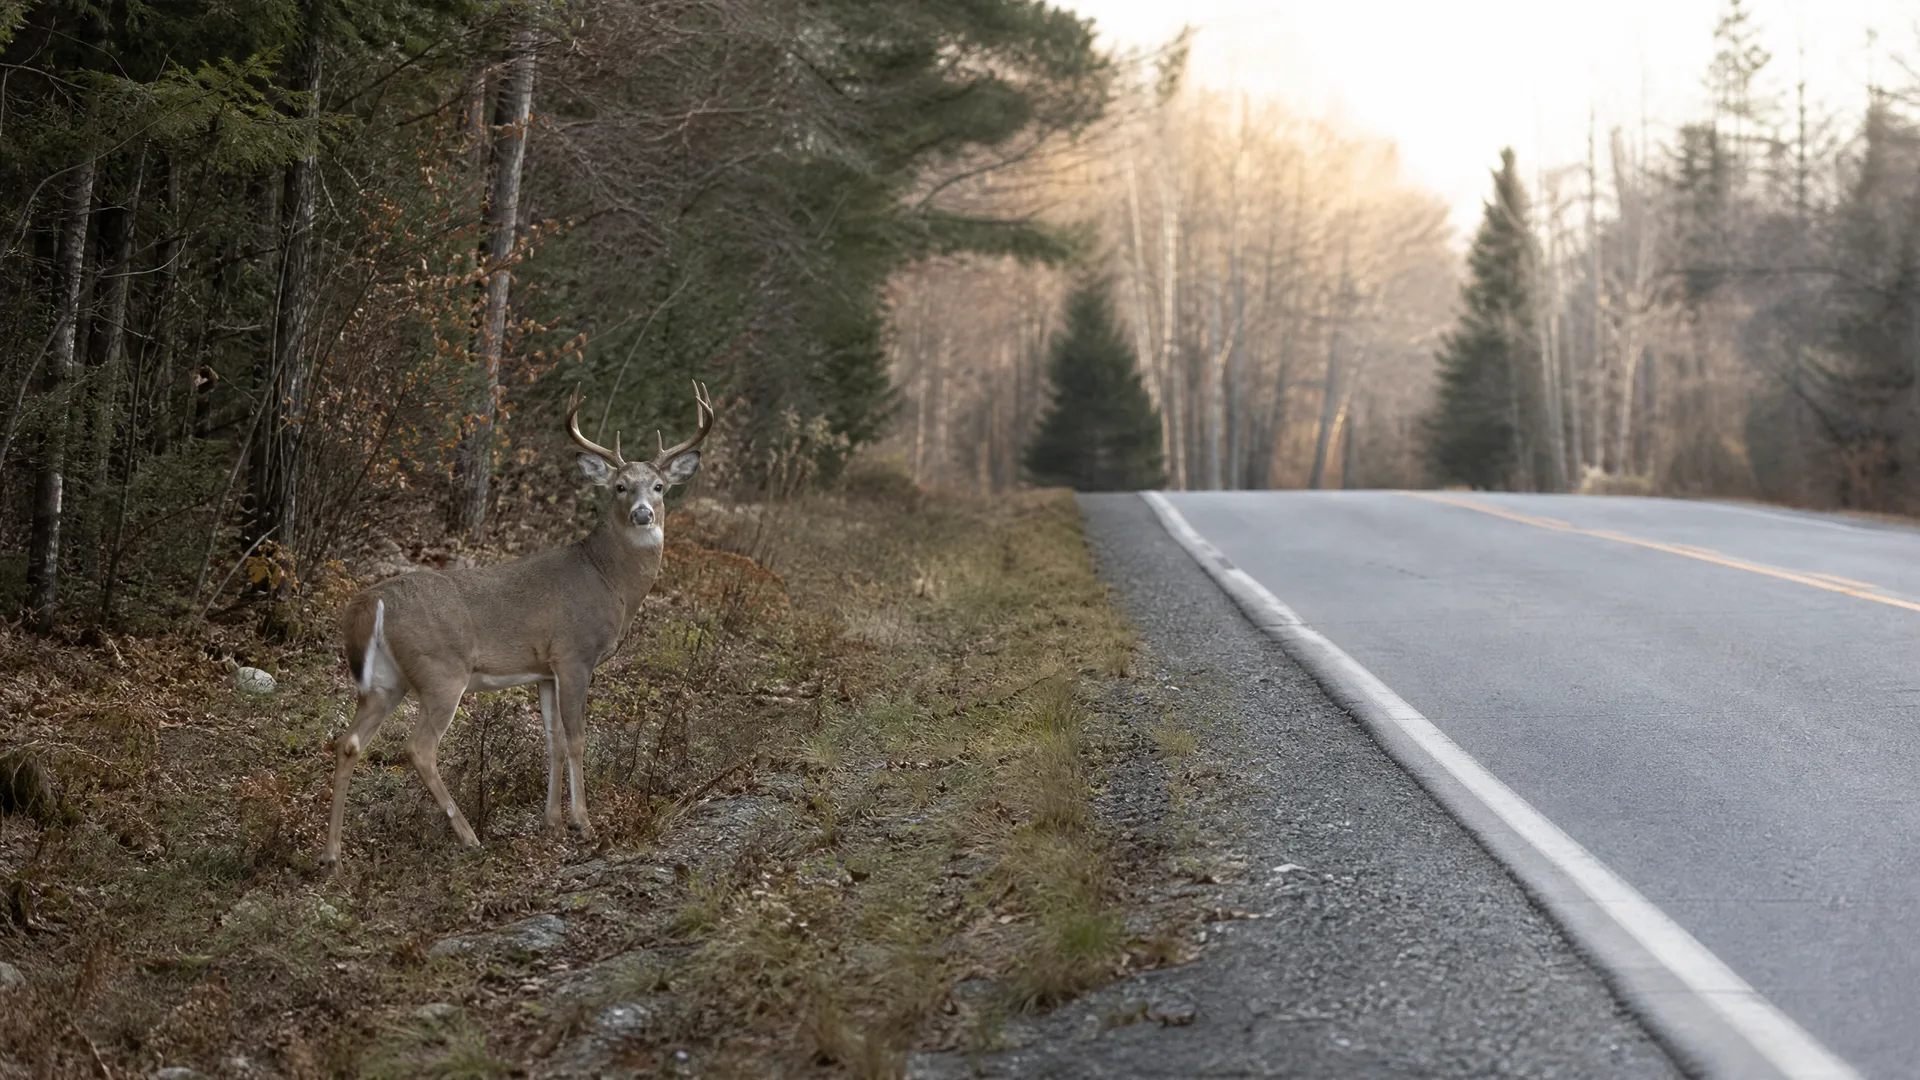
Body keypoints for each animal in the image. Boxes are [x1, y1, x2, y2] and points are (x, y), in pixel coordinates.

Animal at [323, 382, 714, 865]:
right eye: (620, 486)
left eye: (659, 486)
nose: (643, 513)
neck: (608, 578)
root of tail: (371, 600)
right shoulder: (574, 654)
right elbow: (577, 738)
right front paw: (583, 823)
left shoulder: (544, 669)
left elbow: (553, 740)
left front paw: (552, 822)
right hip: (441, 670)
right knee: (419, 748)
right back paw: (470, 837)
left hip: (385, 680)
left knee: (348, 742)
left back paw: (332, 856)